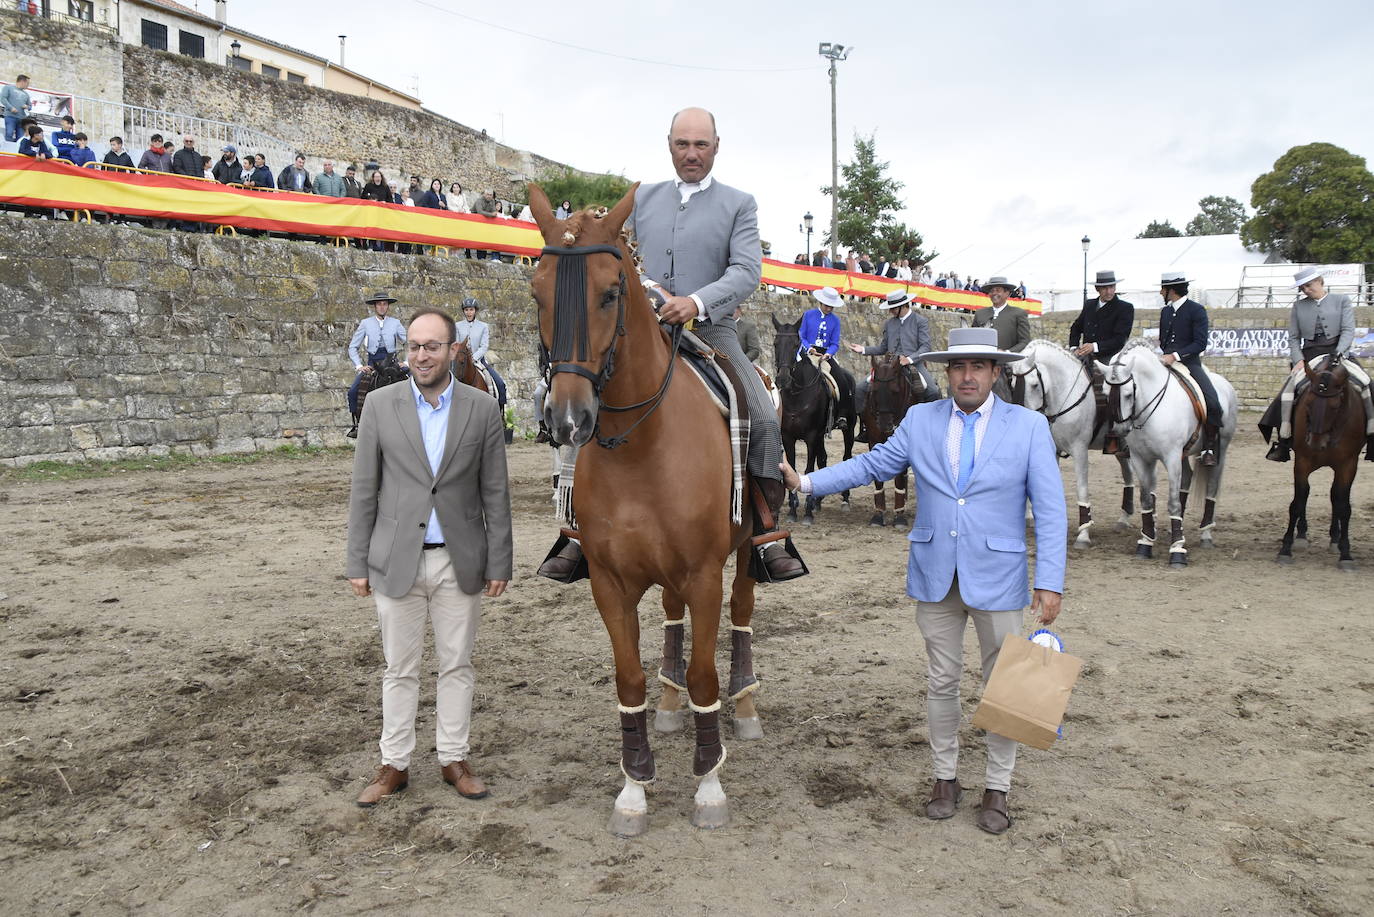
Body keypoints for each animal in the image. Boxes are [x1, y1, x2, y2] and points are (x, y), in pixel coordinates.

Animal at [527, 184, 763, 841]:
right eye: (537, 293)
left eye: (611, 291)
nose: (568, 420)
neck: (642, 447)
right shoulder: (610, 582)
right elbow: (628, 677)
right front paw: (634, 785)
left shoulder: (706, 573)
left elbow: (708, 672)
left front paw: (709, 784)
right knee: (673, 619)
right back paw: (670, 701)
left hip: (744, 555)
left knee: (742, 617)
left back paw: (744, 703)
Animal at [862, 354, 939, 527]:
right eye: (874, 390)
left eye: (895, 391)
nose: (885, 425)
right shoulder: (874, 440)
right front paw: (878, 515)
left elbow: (899, 477)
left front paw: (899, 517)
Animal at [1011, 342, 1137, 544]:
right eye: (1013, 383)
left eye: (1034, 384)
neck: (1064, 393)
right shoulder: (1052, 450)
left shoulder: (1080, 450)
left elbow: (1082, 489)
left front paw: (1083, 534)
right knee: (1128, 474)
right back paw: (1123, 520)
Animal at [1099, 339, 1242, 566]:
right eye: (1104, 393)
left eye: (1128, 394)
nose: (1119, 431)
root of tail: (1224, 383)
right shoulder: (1141, 459)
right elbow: (1146, 500)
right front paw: (1146, 543)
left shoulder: (1171, 457)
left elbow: (1172, 502)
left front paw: (1177, 550)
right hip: (1184, 453)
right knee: (1187, 478)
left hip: (1221, 450)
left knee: (1212, 486)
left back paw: (1206, 534)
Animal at [1275, 354, 1363, 569]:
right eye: (1308, 402)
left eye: (1335, 406)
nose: (1316, 443)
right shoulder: (1302, 462)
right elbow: (1298, 502)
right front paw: (1286, 549)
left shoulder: (1348, 465)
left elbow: (1343, 505)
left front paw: (1346, 554)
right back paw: (1302, 536)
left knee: (1335, 496)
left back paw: (1335, 540)